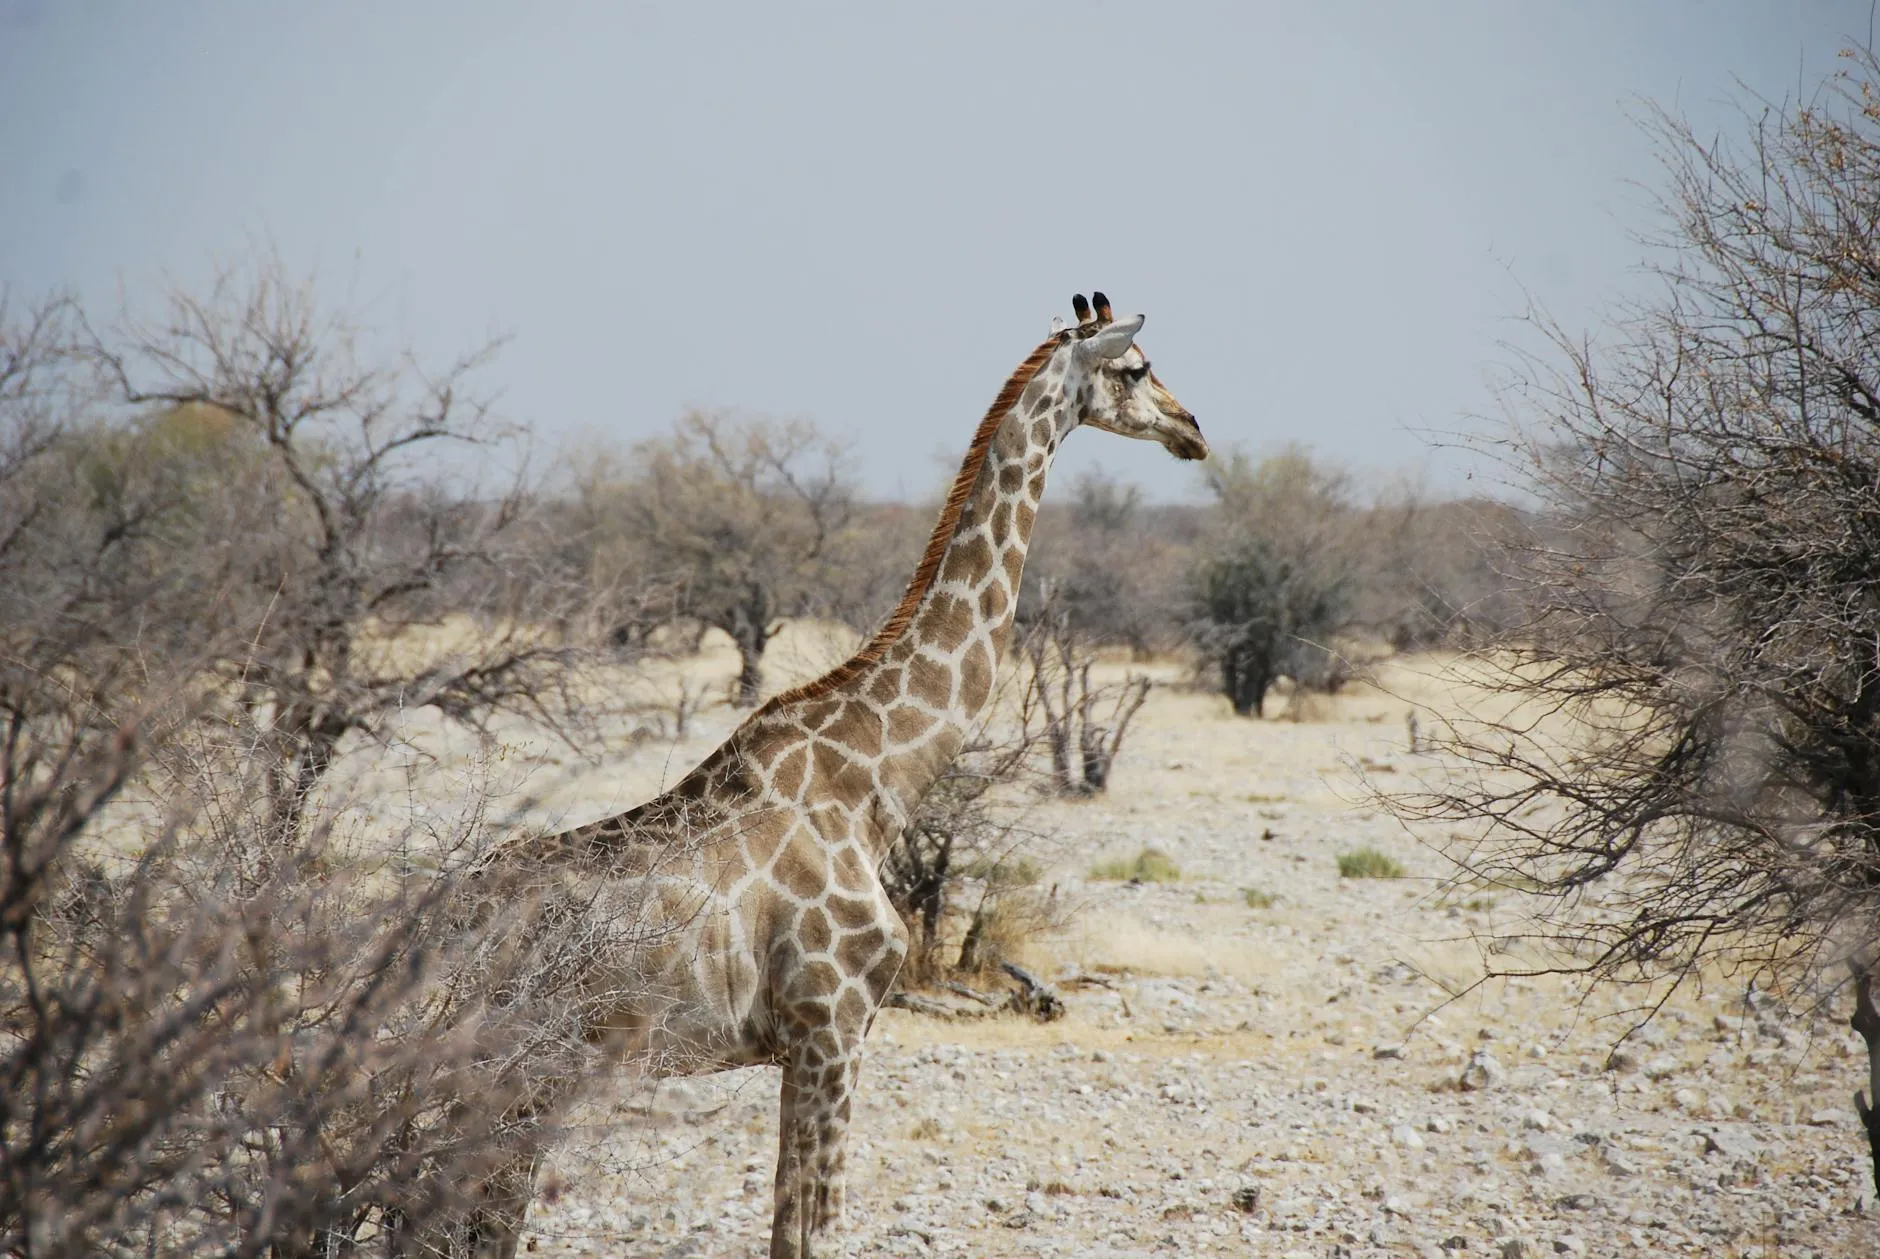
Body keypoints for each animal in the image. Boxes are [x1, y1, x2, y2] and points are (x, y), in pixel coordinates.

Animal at [461, 293, 1205, 1259]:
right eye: (1136, 368)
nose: (1194, 431)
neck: (875, 782)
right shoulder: (832, 1027)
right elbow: (811, 1233)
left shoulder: (817, 1038)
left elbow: (793, 1228)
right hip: (521, 1065)